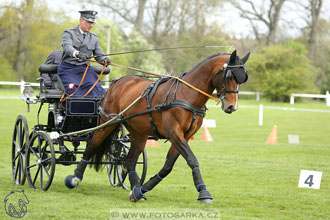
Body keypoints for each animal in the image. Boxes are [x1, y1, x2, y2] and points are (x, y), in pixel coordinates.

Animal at [64, 49, 250, 205]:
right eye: (229, 76)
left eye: (242, 79)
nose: (231, 107)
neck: (186, 94)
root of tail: (117, 82)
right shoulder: (174, 134)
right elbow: (192, 160)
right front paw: (204, 192)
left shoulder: (183, 136)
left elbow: (168, 166)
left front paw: (142, 189)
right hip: (107, 123)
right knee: (91, 146)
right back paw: (75, 178)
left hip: (138, 133)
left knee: (129, 161)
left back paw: (135, 189)